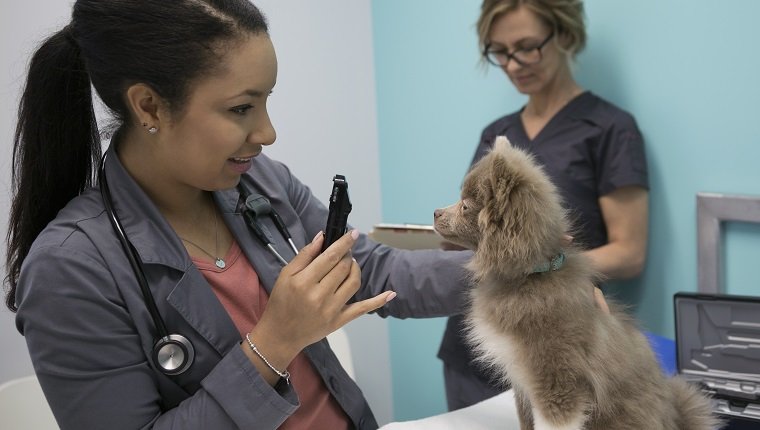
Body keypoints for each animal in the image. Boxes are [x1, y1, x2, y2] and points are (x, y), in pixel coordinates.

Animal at [434, 138, 720, 430]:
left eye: (465, 206)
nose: (435, 212)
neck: (531, 275)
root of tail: (675, 419)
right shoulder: (522, 381)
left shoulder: (556, 378)